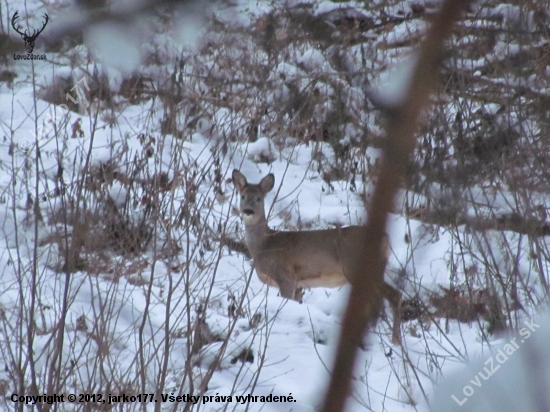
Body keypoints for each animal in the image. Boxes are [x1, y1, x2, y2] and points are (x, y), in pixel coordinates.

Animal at [233, 168, 406, 344]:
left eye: (259, 198)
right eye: (242, 196)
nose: (248, 211)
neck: (264, 244)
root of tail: (386, 239)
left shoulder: (286, 276)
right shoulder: (299, 284)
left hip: (359, 267)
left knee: (393, 296)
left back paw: (394, 341)